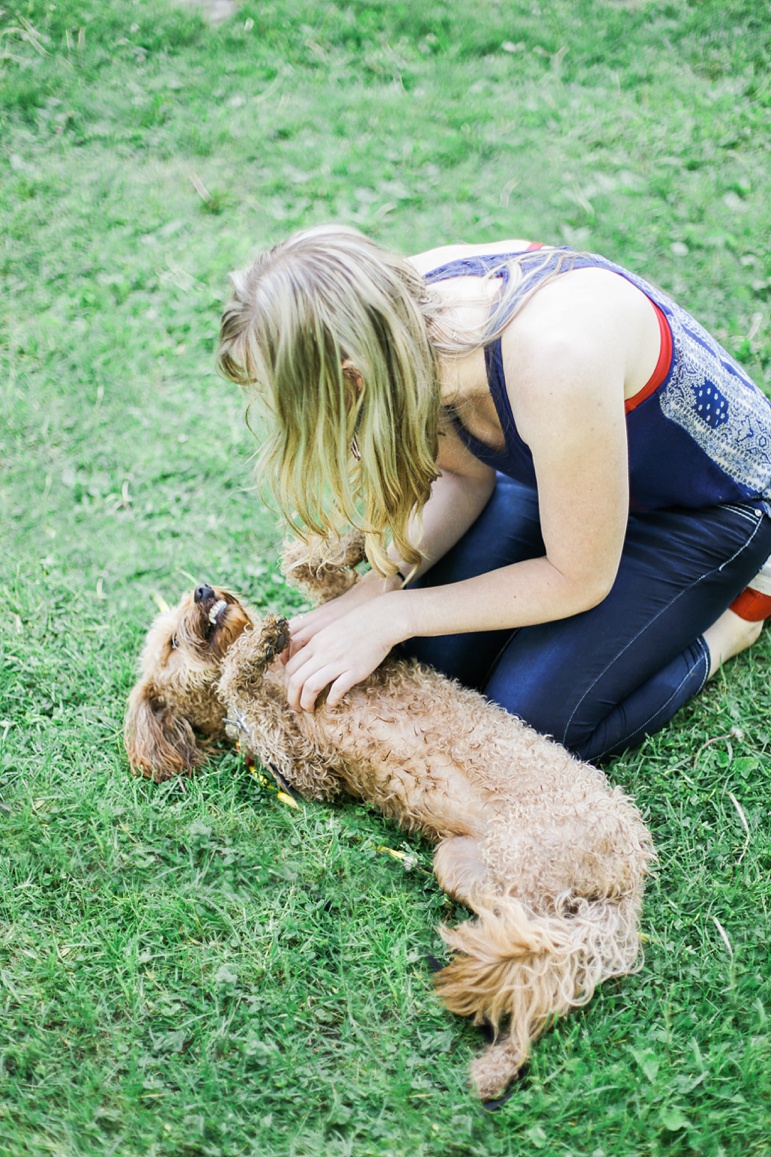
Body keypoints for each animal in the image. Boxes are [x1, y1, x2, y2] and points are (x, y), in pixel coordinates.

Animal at [123, 532, 652, 1101]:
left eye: (181, 618)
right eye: (171, 645)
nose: (203, 591)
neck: (277, 673)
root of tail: (629, 875)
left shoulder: (350, 635)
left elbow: (324, 579)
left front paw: (345, 543)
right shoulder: (303, 767)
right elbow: (238, 687)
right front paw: (253, 647)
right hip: (490, 867)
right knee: (539, 966)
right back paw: (496, 1057)